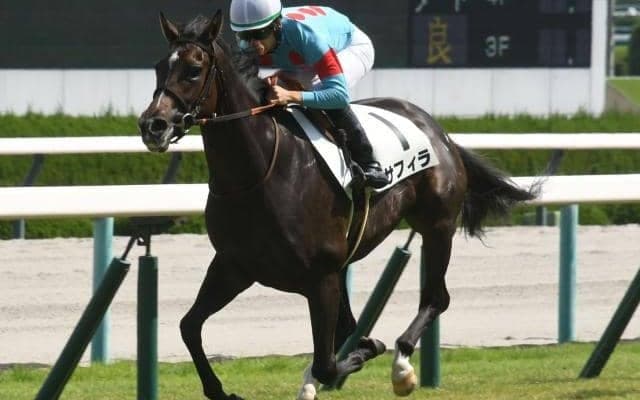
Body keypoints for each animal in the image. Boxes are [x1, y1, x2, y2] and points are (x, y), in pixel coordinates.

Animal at [138, 10, 537, 400]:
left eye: (194, 69)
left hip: (437, 225)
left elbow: (330, 361)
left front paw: (365, 351)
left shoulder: (322, 277)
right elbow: (189, 325)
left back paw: (401, 368)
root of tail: (438, 130)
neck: (258, 173)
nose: (152, 125)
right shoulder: (234, 266)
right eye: (158, 66)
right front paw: (222, 391)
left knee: (436, 298)